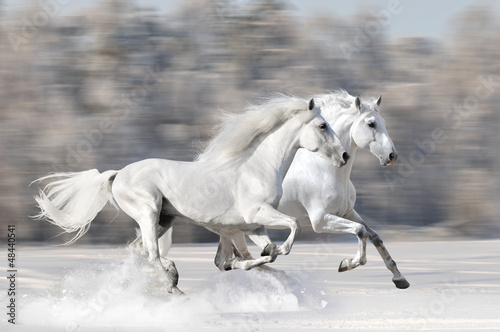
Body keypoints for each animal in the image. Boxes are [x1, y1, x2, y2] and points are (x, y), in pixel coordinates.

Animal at [33, 97, 350, 294]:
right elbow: (291, 229)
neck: (257, 167)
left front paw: (266, 256)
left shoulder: (252, 226)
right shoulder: (256, 216)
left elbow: (255, 255)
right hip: (148, 212)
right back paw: (174, 286)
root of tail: (117, 174)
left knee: (139, 250)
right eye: (322, 125)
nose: (345, 155)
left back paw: (173, 274)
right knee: (150, 253)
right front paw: (277, 252)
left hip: (165, 219)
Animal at [189, 90, 408, 288]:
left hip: (229, 230)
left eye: (383, 122)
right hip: (234, 228)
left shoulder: (347, 212)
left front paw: (399, 278)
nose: (391, 156)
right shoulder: (321, 220)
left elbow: (374, 236)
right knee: (238, 258)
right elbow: (360, 231)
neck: (324, 168)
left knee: (225, 260)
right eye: (371, 123)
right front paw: (346, 264)